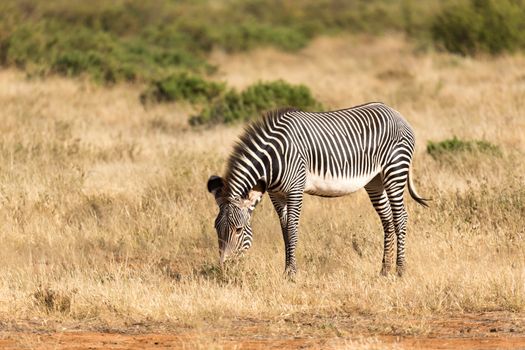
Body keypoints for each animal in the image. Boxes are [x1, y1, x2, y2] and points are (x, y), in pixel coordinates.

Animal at [207, 102, 428, 278]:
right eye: (217, 228)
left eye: (238, 229)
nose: (224, 268)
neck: (273, 160)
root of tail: (395, 112)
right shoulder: (276, 194)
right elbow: (284, 229)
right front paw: (286, 270)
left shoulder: (295, 188)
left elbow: (292, 229)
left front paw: (292, 274)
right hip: (375, 180)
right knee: (387, 220)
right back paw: (384, 270)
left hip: (395, 171)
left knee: (400, 217)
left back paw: (400, 270)